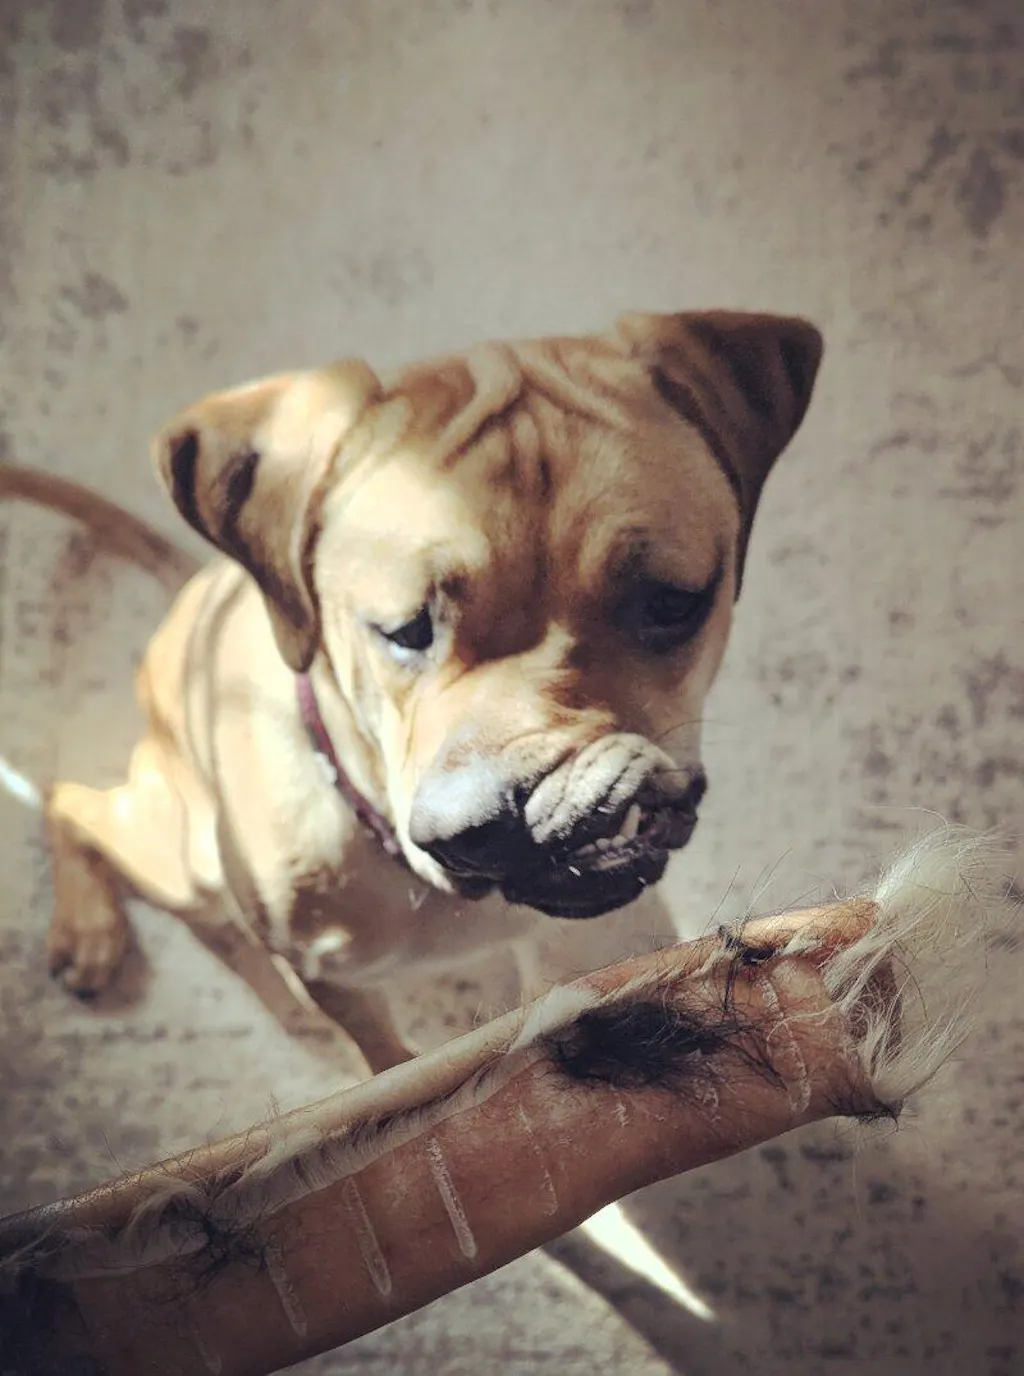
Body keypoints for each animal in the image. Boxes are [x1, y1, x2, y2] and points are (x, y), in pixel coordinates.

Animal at [1, 309, 822, 1071]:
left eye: (670, 603)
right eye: (402, 630)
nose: (518, 819)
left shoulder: (592, 946)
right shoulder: (333, 982)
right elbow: (385, 1063)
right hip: (183, 858)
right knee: (70, 800)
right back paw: (89, 928)